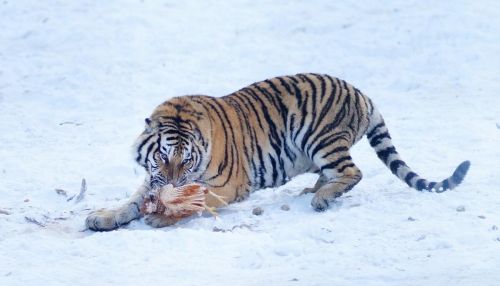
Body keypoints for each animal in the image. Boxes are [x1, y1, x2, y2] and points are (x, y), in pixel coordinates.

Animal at [84, 72, 470, 231]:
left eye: (187, 160)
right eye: (163, 157)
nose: (171, 185)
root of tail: (362, 94)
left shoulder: (226, 186)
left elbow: (195, 202)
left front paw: (160, 217)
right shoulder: (153, 178)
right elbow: (132, 202)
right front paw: (103, 217)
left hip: (320, 135)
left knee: (351, 171)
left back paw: (321, 198)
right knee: (335, 172)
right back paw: (313, 190)